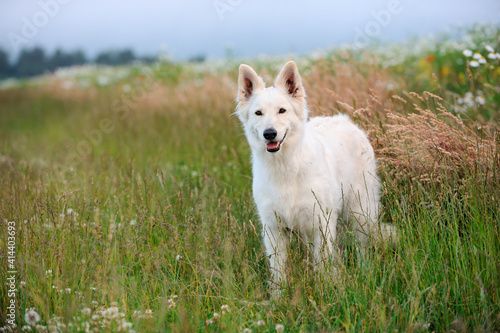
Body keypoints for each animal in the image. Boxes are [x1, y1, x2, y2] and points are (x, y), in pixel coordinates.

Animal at [234, 61, 394, 286]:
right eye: (258, 113)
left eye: (282, 110)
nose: (269, 134)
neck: (286, 167)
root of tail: (344, 120)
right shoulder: (274, 231)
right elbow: (279, 274)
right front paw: (280, 295)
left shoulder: (321, 226)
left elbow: (324, 269)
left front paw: (327, 291)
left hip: (360, 213)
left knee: (363, 247)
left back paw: (366, 273)